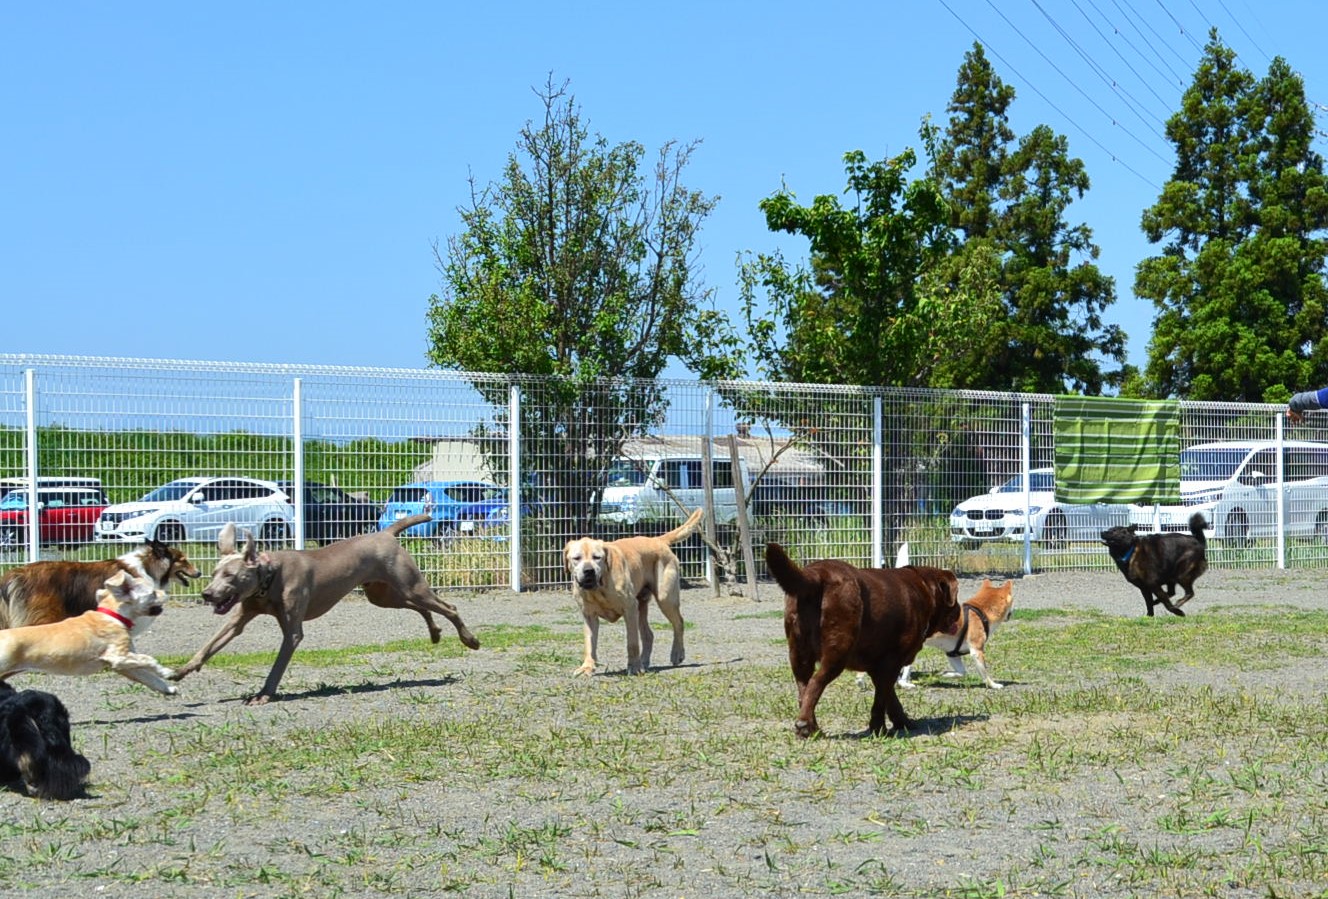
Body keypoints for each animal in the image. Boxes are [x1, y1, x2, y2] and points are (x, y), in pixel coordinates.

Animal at [0, 568, 177, 695]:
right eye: (152, 593)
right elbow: (149, 660)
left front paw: (169, 687)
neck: (112, 615)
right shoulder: (118, 656)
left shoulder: (125, 666)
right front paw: (167, 671)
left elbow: (150, 678)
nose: (167, 593)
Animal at [172, 512, 483, 701]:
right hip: (383, 595)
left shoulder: (293, 632)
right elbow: (209, 645)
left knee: (449, 606)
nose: (207, 594)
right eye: (214, 573)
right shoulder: (240, 616)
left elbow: (278, 665)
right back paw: (435, 633)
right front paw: (180, 671)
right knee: (424, 608)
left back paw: (470, 640)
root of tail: (386, 533)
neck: (269, 578)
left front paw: (263, 694)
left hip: (410, 586)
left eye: (230, 575)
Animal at [560, 504, 706, 674]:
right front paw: (587, 667)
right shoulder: (589, 615)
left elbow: (632, 643)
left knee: (679, 623)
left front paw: (634, 667)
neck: (599, 588)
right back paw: (644, 661)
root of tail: (657, 540)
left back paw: (676, 653)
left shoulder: (629, 609)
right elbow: (590, 644)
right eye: (576, 558)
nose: (589, 571)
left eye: (597, 557)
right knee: (649, 635)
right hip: (641, 605)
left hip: (665, 598)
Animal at [764, 539, 961, 738]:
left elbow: (889, 696)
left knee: (803, 687)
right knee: (815, 682)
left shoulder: (879, 665)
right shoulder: (891, 661)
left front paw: (902, 721)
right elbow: (881, 697)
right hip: (838, 649)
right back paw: (805, 725)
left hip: (798, 650)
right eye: (955, 598)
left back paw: (813, 727)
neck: (924, 589)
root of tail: (816, 575)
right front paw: (879, 728)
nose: (960, 609)